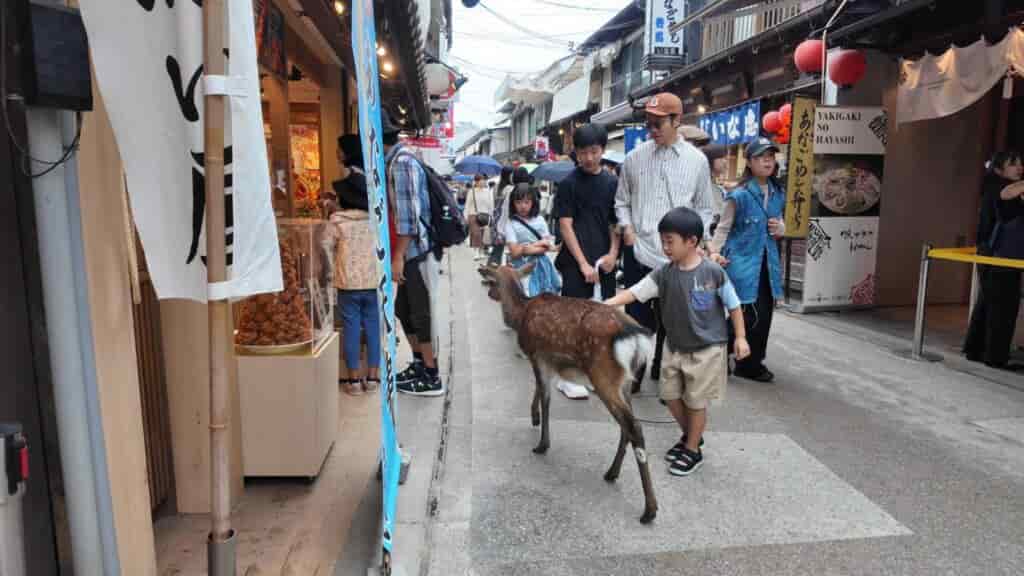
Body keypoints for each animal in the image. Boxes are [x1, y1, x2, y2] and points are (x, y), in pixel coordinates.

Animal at [478, 263, 658, 524]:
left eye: (492, 279)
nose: (490, 293)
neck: (521, 313)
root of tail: (636, 336)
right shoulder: (547, 361)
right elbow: (538, 389)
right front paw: (534, 418)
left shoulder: (537, 355)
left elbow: (545, 397)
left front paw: (542, 444)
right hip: (625, 381)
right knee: (628, 424)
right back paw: (612, 472)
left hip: (603, 375)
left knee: (633, 426)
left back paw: (649, 509)